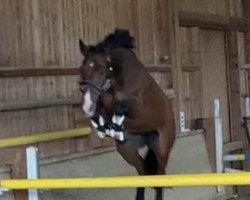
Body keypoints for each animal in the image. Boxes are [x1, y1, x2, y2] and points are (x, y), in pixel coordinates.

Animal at [78, 28, 176, 200]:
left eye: (102, 71)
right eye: (82, 70)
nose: (87, 107)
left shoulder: (139, 110)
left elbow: (120, 107)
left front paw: (113, 122)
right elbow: (103, 110)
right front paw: (101, 124)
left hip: (162, 147)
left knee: (159, 175)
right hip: (127, 149)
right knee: (142, 170)